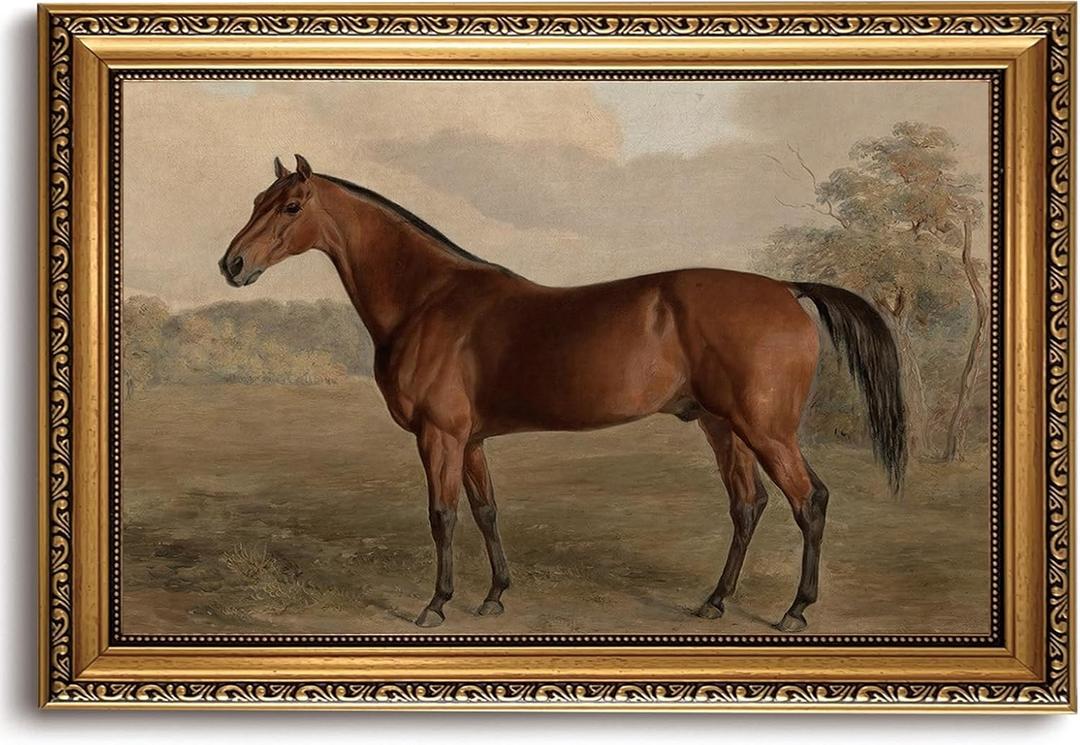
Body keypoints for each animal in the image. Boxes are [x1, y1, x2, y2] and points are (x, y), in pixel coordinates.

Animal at [219, 154, 907, 631]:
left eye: (291, 206)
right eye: (255, 199)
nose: (232, 265)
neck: (428, 299)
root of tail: (786, 289)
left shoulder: (439, 437)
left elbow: (442, 516)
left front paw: (436, 604)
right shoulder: (470, 441)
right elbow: (486, 510)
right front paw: (494, 596)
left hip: (766, 429)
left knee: (809, 501)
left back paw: (796, 610)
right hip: (723, 426)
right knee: (748, 505)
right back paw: (714, 601)